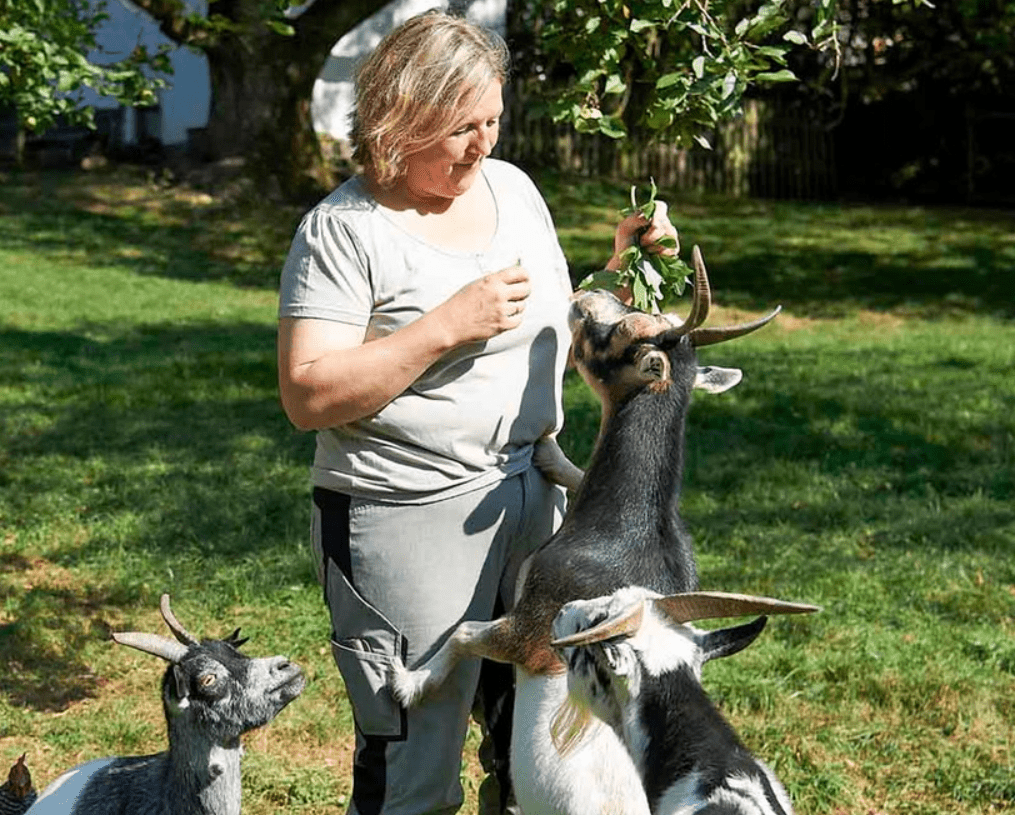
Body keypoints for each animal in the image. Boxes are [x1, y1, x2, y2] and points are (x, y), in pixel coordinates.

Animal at [389, 250, 783, 815]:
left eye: (621, 331)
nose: (585, 297)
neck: (627, 530)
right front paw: (552, 454)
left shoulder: (529, 630)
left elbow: (464, 632)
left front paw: (408, 682)